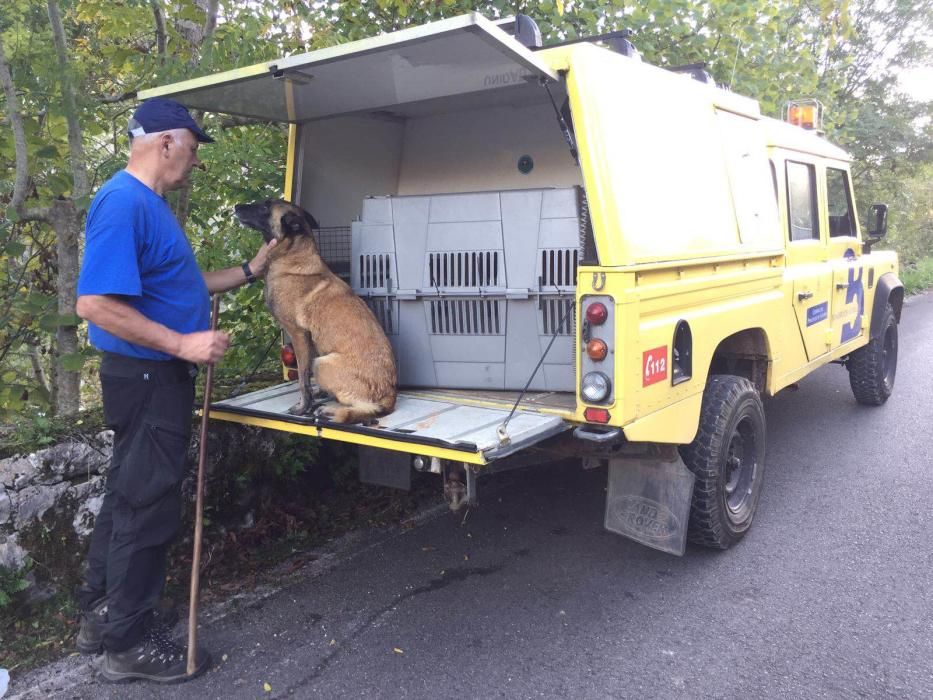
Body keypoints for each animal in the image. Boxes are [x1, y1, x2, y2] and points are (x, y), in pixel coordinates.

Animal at [235, 200, 396, 424]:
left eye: (265, 207)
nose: (236, 207)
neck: (292, 255)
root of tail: (390, 394)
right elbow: (305, 380)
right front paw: (311, 398)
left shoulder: (298, 334)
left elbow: (302, 380)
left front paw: (303, 408)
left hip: (321, 363)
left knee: (365, 408)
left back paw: (330, 411)